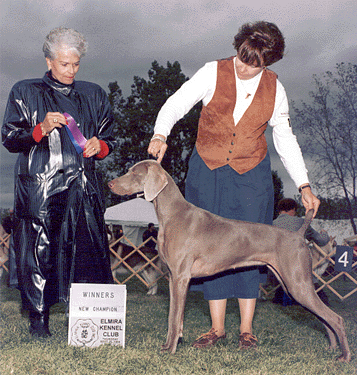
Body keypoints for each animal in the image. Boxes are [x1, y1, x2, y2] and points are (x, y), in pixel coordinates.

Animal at [107, 160, 350, 362]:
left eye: (134, 173)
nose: (110, 183)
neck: (172, 215)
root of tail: (299, 235)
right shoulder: (173, 279)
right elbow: (173, 317)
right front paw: (168, 346)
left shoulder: (181, 278)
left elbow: (174, 319)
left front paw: (171, 349)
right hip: (293, 285)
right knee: (324, 318)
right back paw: (331, 348)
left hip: (298, 284)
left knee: (336, 318)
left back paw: (344, 356)